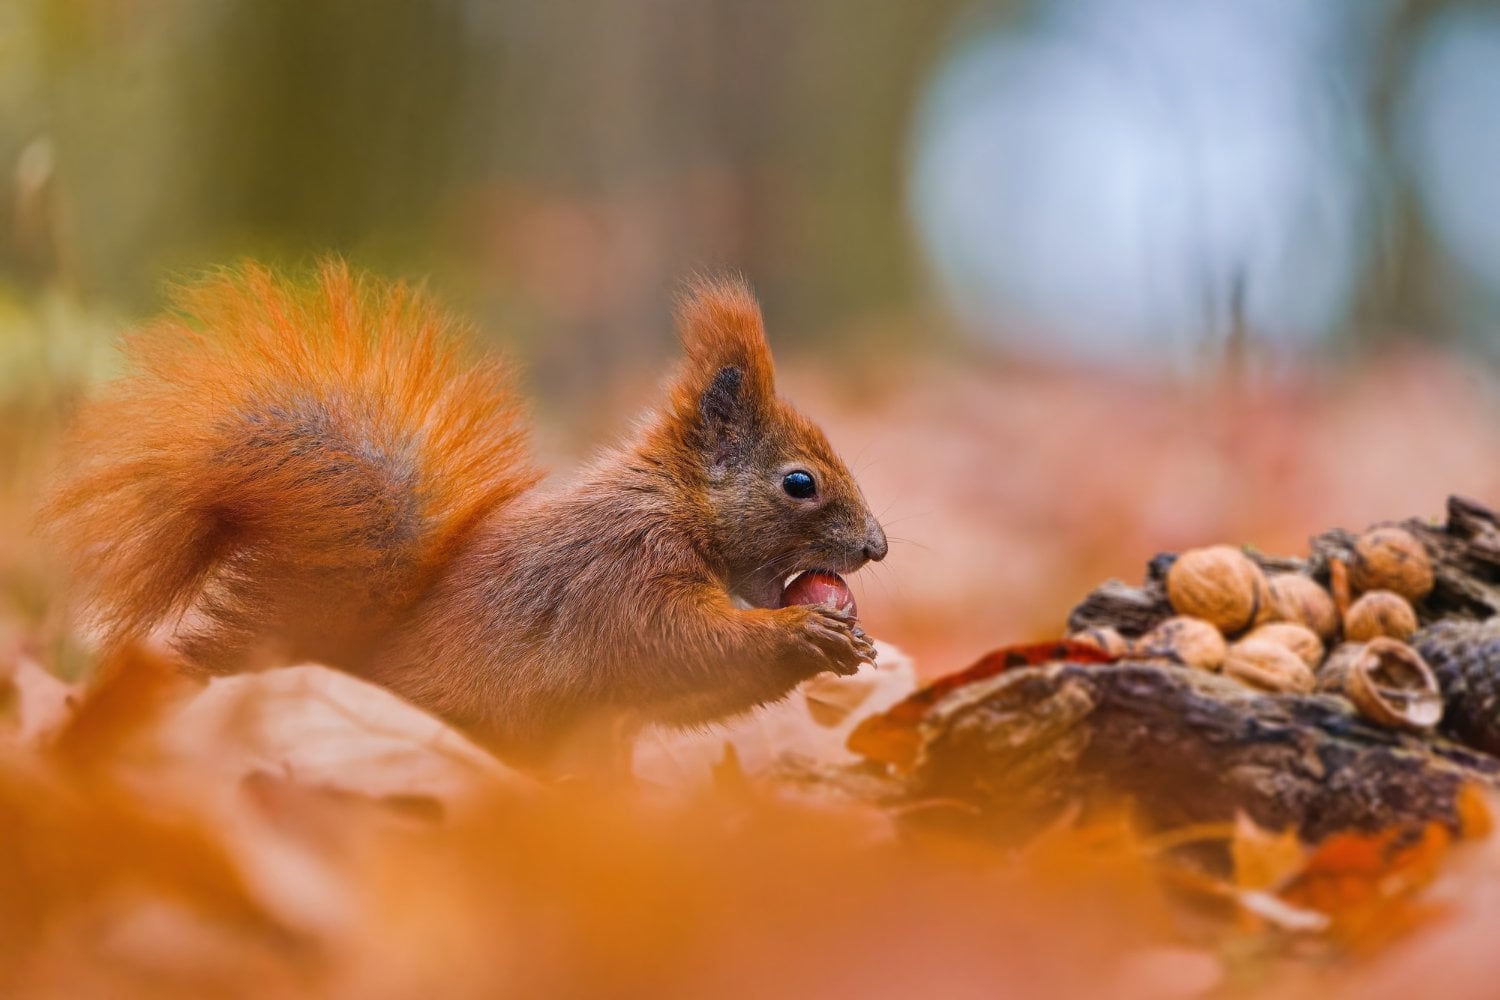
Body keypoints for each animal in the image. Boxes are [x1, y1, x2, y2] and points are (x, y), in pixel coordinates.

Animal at [41, 261, 887, 762]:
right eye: (800, 483)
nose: (876, 547)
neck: (674, 505)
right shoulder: (622, 572)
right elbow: (676, 645)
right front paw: (802, 632)